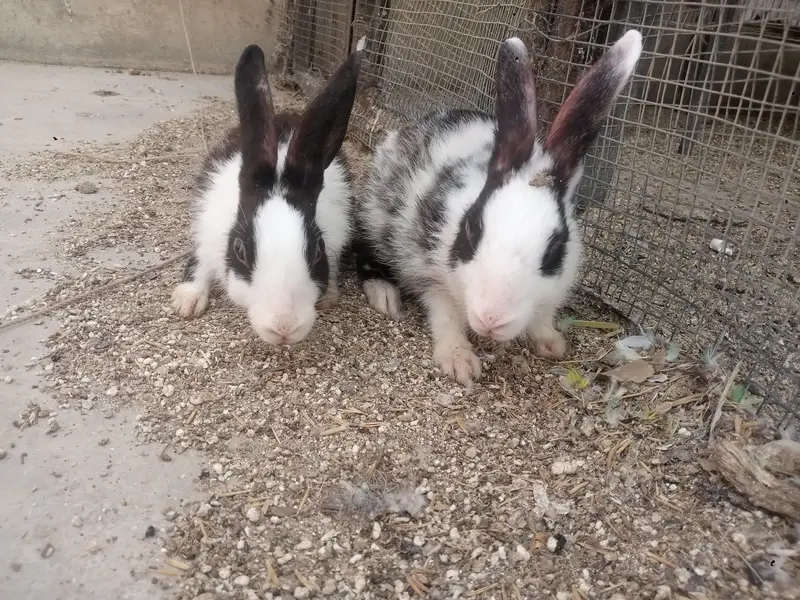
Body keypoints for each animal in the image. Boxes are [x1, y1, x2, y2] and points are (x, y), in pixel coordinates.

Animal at [171, 37, 366, 345]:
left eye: (318, 250)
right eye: (239, 249)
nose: (283, 327)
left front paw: (329, 296)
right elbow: (200, 261)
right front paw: (187, 301)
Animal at [353, 30, 642, 385]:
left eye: (555, 250)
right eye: (471, 229)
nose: (492, 318)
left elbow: (543, 315)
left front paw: (550, 343)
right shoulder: (428, 270)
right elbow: (445, 315)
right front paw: (459, 361)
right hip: (375, 217)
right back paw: (384, 294)